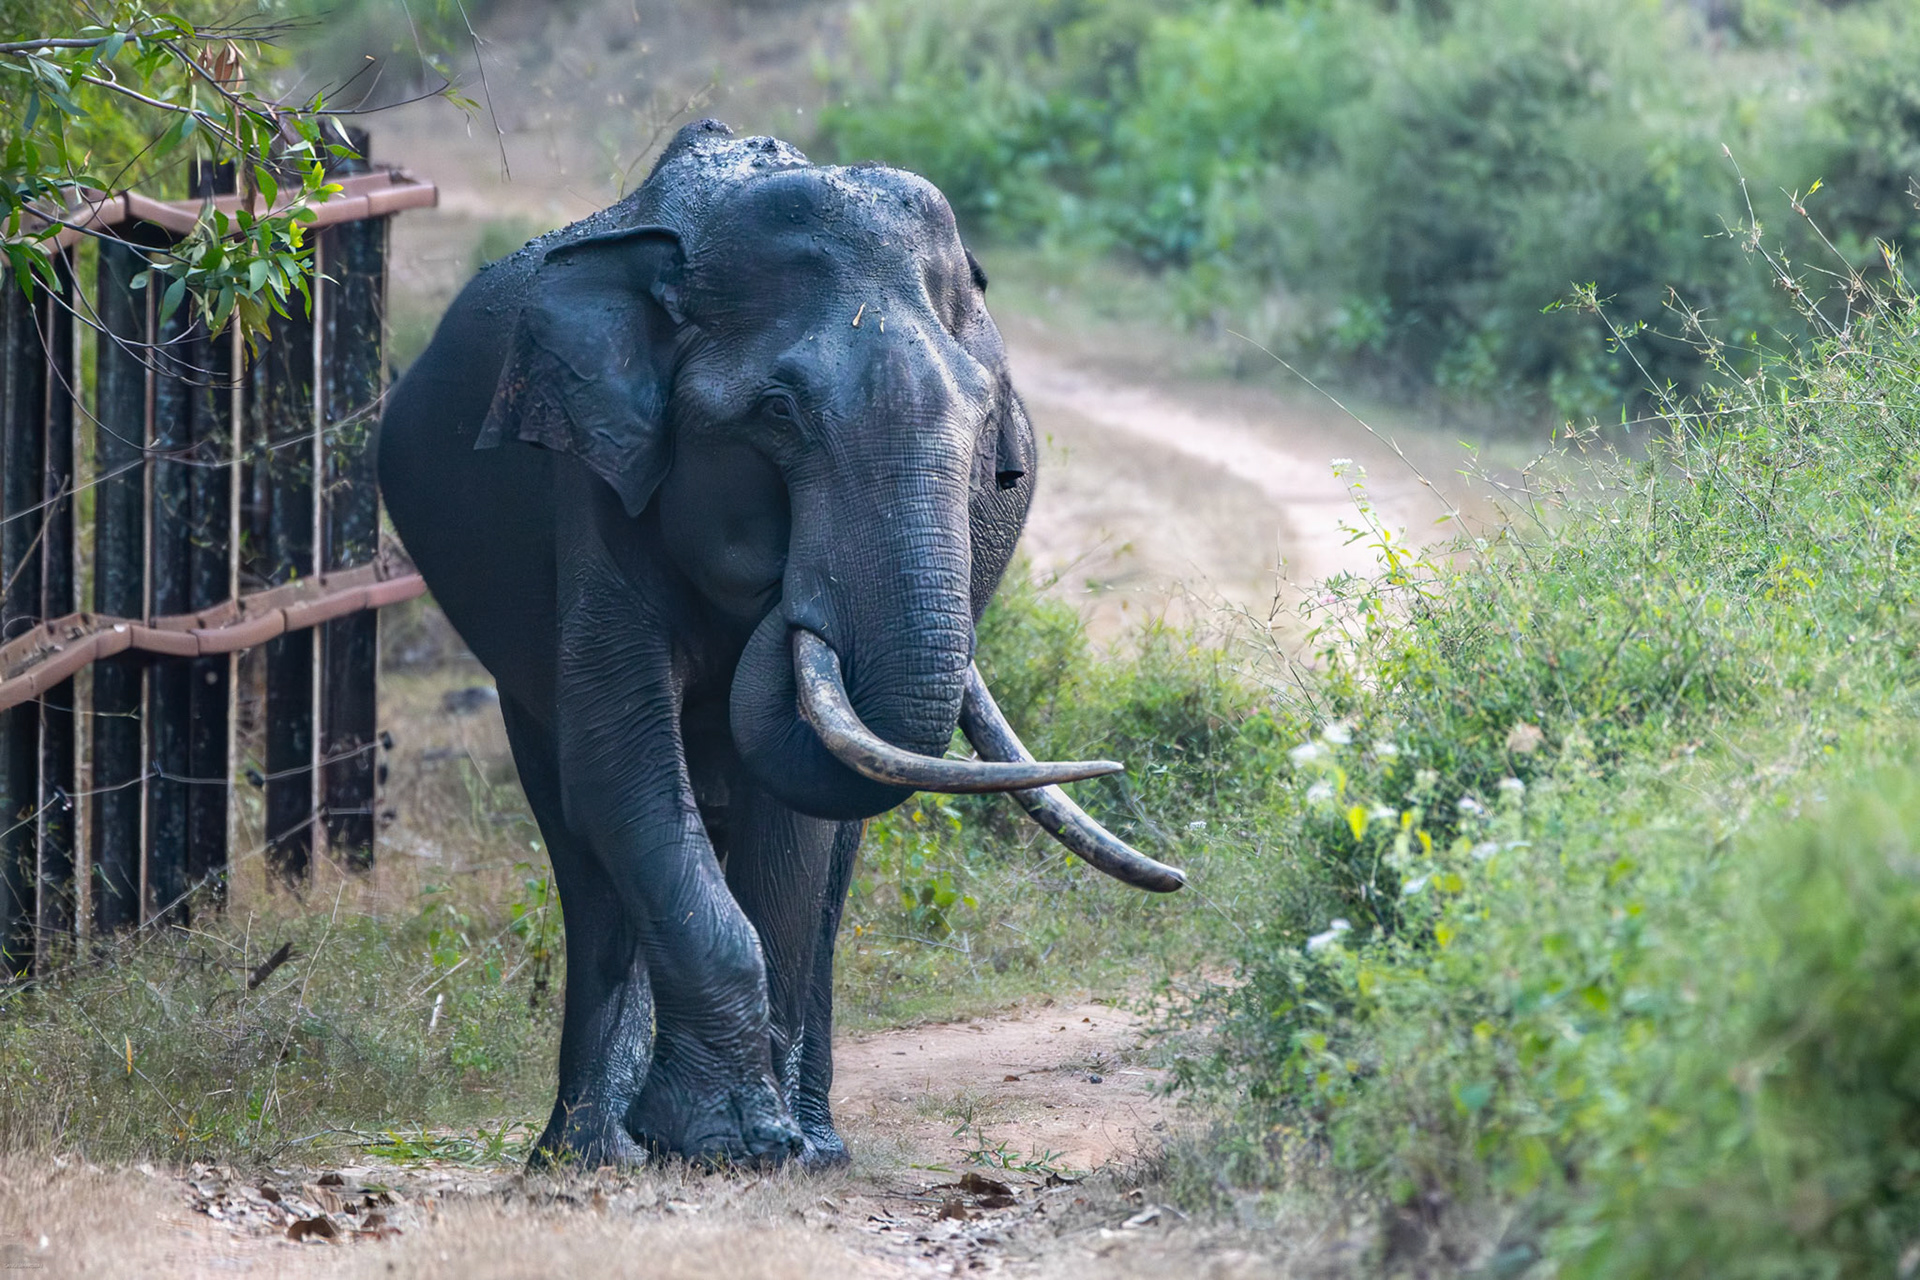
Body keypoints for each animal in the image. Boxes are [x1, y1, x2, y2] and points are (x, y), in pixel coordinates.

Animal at [377, 119, 1185, 1171]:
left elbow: (793, 820)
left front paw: (757, 1147)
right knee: (577, 827)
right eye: (776, 415)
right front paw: (723, 1142)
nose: (789, 589)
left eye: (986, 431)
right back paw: (583, 1157)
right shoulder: (594, 483)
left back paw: (811, 1143)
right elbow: (623, 770)